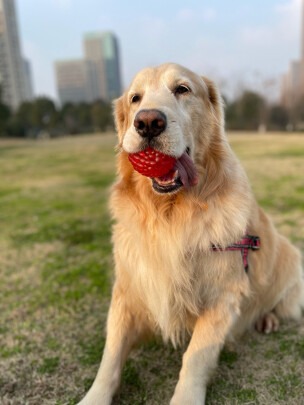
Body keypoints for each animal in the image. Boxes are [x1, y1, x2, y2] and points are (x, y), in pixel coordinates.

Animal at [78, 63, 304, 404]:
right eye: (135, 98)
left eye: (182, 89)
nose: (147, 122)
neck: (171, 213)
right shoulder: (129, 290)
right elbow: (110, 357)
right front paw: (94, 396)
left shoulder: (223, 297)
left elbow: (196, 357)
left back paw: (268, 319)